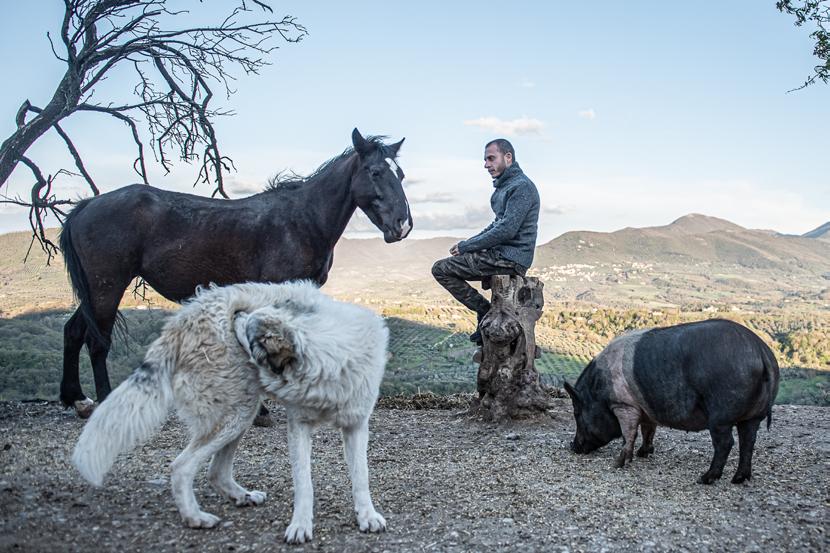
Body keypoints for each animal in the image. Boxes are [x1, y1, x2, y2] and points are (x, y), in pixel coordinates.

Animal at [59, 128, 411, 419]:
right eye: (376, 172)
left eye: (401, 174)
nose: (403, 225)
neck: (301, 221)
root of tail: (87, 204)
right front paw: (263, 411)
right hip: (107, 287)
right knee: (97, 341)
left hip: (94, 291)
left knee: (74, 331)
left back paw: (76, 399)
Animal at [72, 280, 388, 544]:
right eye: (246, 321)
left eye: (249, 329)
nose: (238, 312)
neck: (329, 360)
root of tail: (185, 318)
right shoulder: (298, 426)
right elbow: (304, 484)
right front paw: (300, 526)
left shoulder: (357, 425)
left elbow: (361, 477)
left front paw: (367, 516)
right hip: (236, 414)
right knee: (182, 467)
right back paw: (195, 518)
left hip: (240, 414)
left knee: (216, 472)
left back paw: (241, 496)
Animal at [564, 319, 779, 484]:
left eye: (576, 413)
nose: (573, 447)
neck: (598, 389)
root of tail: (761, 352)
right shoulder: (646, 408)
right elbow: (648, 430)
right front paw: (644, 453)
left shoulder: (624, 404)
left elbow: (629, 433)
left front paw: (618, 463)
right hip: (753, 415)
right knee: (748, 441)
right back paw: (739, 479)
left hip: (721, 414)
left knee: (726, 443)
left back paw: (705, 479)